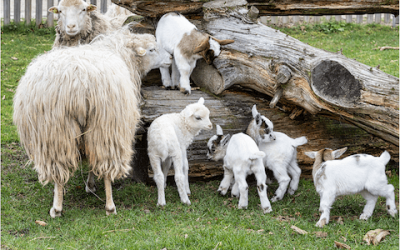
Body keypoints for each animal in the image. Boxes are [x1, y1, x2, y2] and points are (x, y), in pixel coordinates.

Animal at [13, 28, 173, 218]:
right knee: (106, 167)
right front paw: (90, 186)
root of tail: (77, 82)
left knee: (59, 169)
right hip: (106, 125)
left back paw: (57, 207)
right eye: (152, 49)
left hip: (56, 131)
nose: (171, 58)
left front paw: (88, 186)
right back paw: (110, 206)